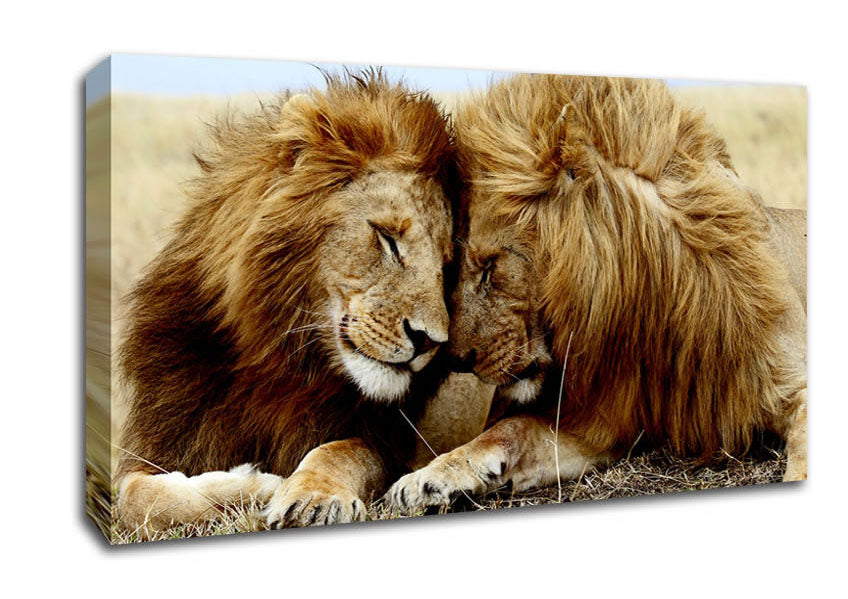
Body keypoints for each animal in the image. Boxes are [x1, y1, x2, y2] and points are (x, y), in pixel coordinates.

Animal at [115, 70, 493, 537]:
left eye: (446, 267)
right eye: (387, 238)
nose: (429, 341)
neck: (278, 358)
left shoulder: (386, 441)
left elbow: (338, 451)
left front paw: (310, 496)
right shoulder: (164, 439)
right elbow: (137, 498)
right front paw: (254, 484)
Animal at [386, 74, 807, 511]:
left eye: (490, 265)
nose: (455, 359)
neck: (651, 309)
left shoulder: (794, 386)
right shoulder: (602, 422)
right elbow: (510, 430)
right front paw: (425, 479)